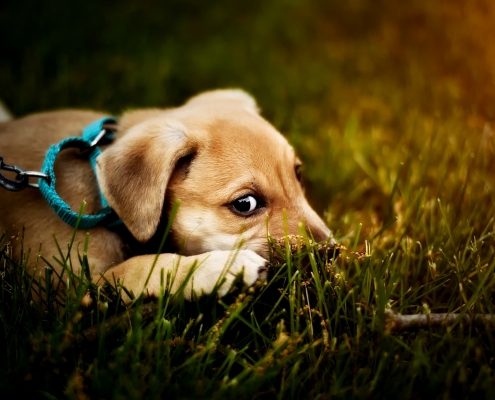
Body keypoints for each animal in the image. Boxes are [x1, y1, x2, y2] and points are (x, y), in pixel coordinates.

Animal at [0, 90, 336, 300]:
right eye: (246, 204)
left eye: (298, 174)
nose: (331, 252)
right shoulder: (66, 292)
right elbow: (139, 267)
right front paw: (220, 267)